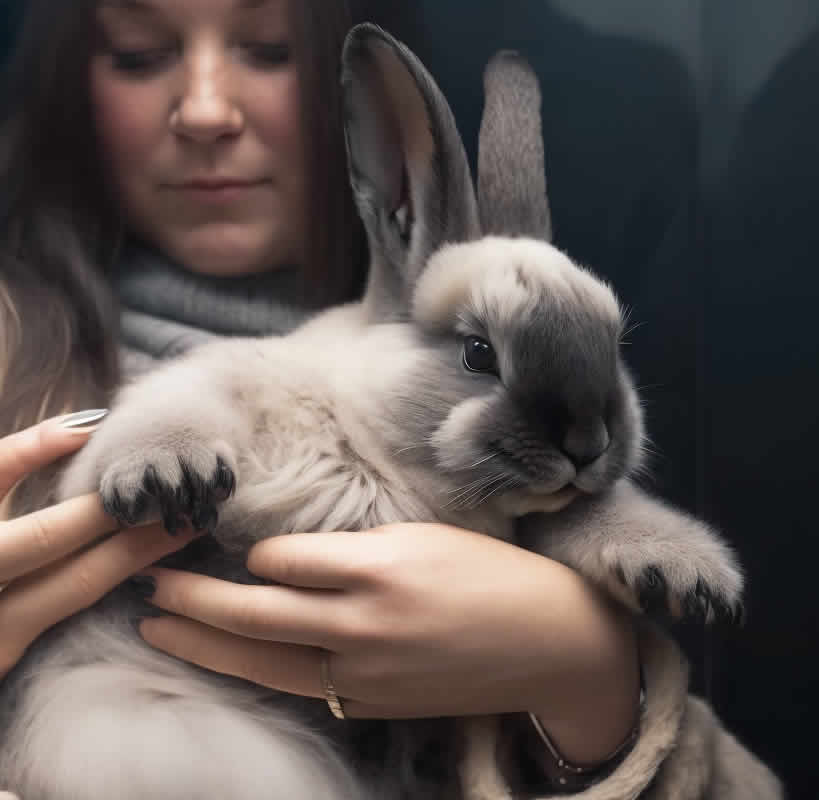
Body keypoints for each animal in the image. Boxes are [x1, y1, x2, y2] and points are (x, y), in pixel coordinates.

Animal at [0, 21, 744, 800]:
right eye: (479, 353)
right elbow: (164, 420)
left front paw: (684, 573)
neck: (372, 448)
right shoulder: (200, 401)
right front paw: (169, 475)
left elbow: (575, 519)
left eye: (613, 342)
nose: (588, 441)